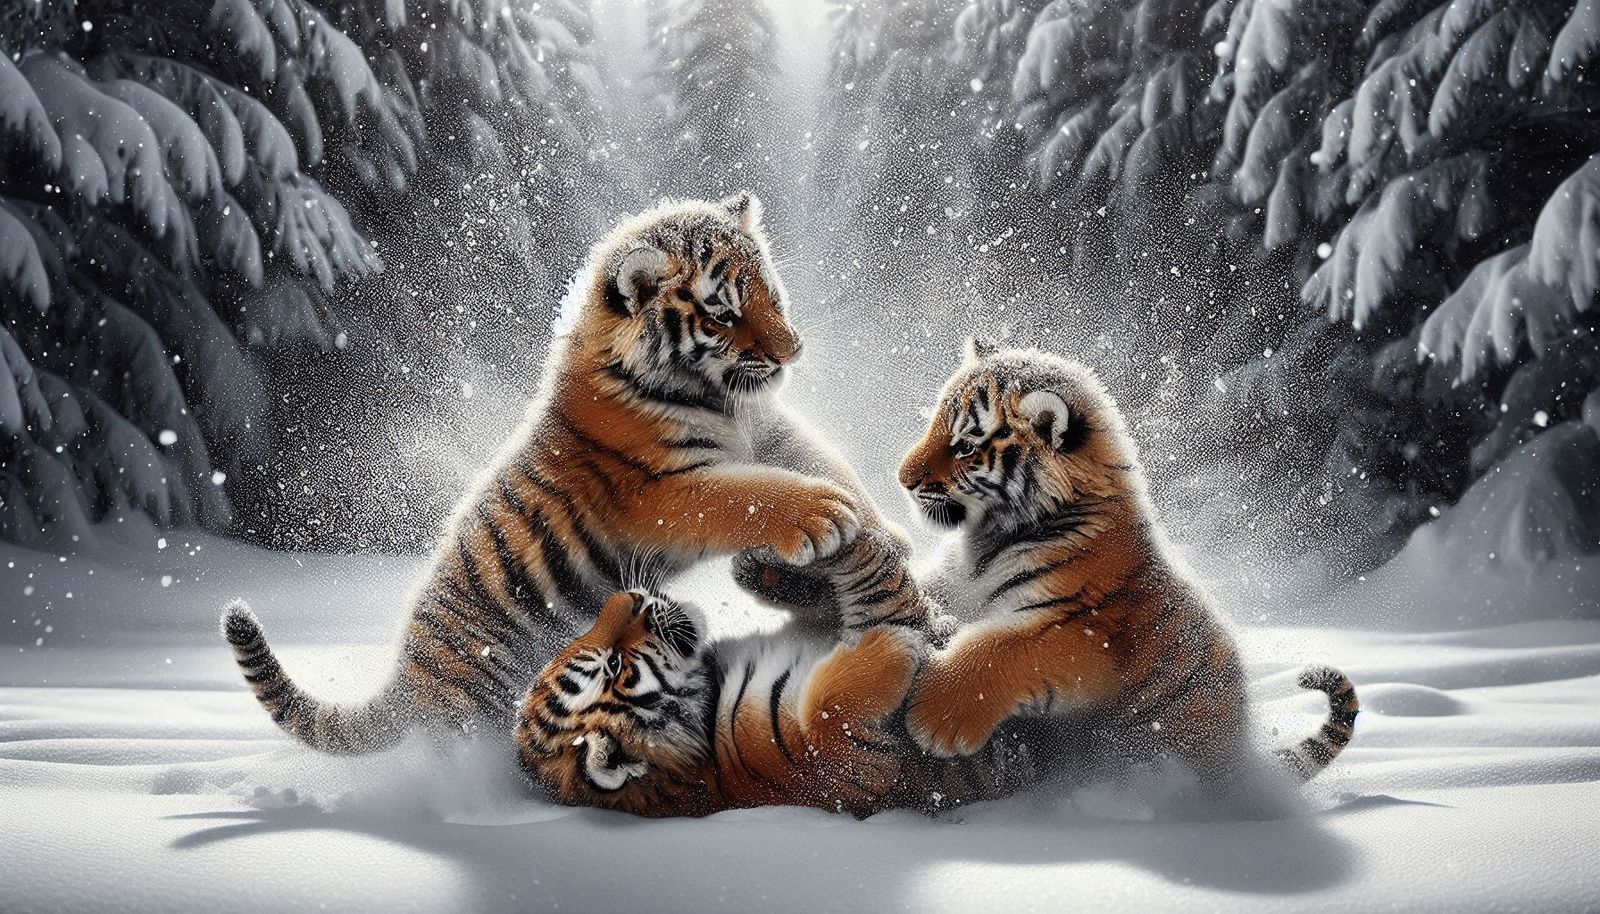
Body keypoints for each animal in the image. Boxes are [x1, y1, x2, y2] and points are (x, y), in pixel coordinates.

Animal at [221, 193, 930, 755]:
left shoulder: (770, 428)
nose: (792, 353)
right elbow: (746, 496)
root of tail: (405, 675)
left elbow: (820, 460)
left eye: (771, 293)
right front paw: (825, 516)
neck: (715, 395)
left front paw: (885, 530)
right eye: (725, 312)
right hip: (468, 710)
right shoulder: (660, 490)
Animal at [894, 338, 1358, 784]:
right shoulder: (952, 585)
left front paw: (933, 718)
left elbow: (995, 648)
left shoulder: (1078, 628)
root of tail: (1245, 758)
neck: (986, 539)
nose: (902, 479)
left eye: (965, 446)